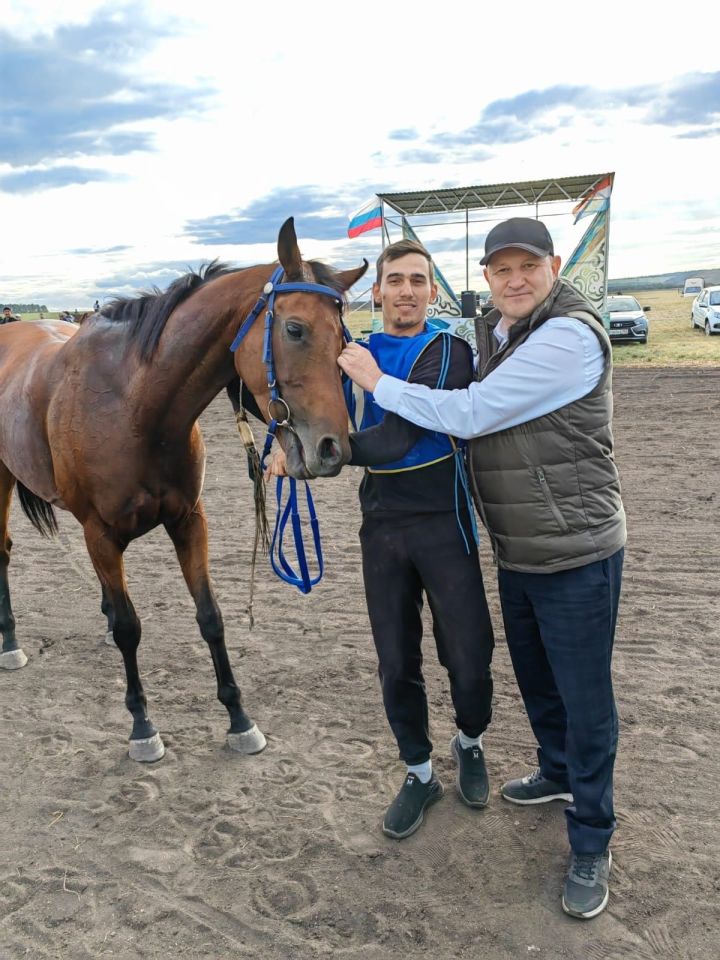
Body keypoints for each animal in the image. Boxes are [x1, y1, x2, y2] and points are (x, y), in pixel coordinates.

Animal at [0, 221, 368, 760]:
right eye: (295, 329)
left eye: (344, 337)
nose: (332, 448)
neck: (133, 407)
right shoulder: (100, 534)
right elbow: (130, 629)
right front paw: (142, 726)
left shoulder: (189, 521)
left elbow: (209, 616)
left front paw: (239, 719)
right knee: (3, 553)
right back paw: (9, 642)